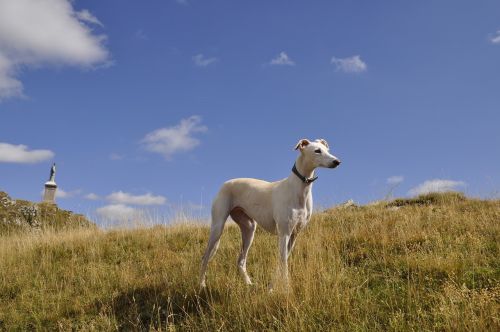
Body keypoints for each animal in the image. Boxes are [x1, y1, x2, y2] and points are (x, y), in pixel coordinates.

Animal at [199, 138, 340, 288]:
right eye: (317, 151)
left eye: (327, 150)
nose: (337, 161)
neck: (299, 188)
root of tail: (225, 183)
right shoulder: (284, 234)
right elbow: (284, 263)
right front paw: (286, 288)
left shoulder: (294, 235)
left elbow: (281, 262)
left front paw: (272, 287)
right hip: (218, 227)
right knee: (205, 257)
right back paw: (202, 284)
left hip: (249, 229)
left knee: (241, 261)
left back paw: (249, 284)